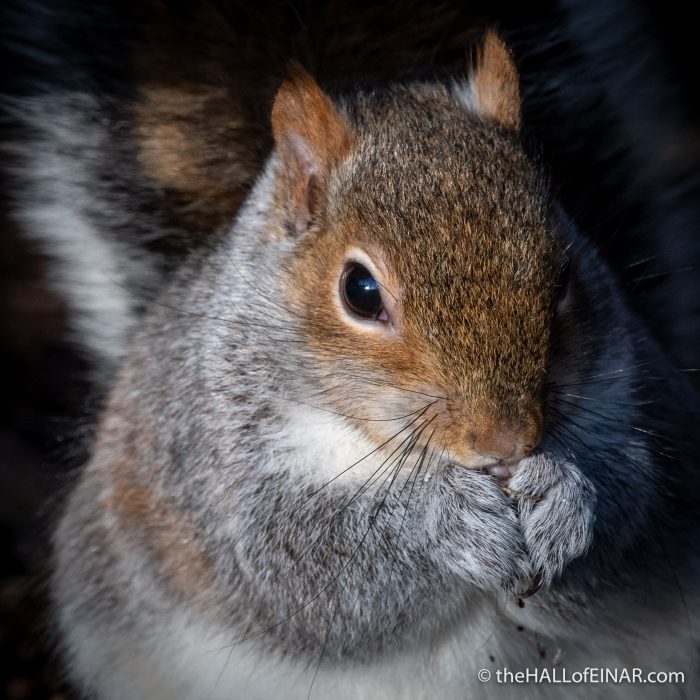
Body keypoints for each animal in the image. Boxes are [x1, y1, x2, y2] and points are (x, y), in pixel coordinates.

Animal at [47, 28, 700, 700]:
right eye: (359, 291)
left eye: (566, 272)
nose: (506, 443)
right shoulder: (210, 459)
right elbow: (300, 573)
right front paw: (445, 521)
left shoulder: (650, 402)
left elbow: (648, 507)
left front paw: (566, 504)